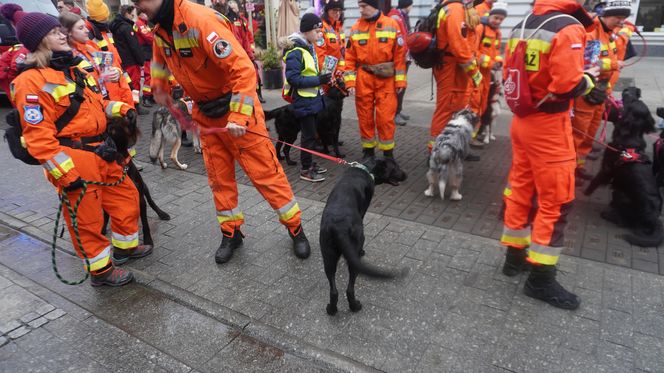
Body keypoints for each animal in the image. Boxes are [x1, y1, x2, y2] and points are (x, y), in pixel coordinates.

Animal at [100, 115, 170, 246]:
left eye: (112, 128)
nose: (131, 116)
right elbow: (106, 216)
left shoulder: (140, 199)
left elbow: (145, 222)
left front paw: (148, 240)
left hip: (144, 187)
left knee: (151, 202)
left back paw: (162, 213)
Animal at [320, 157, 408, 314]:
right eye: (395, 168)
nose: (406, 175)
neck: (367, 168)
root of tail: (338, 226)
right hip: (354, 255)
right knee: (349, 289)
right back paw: (355, 306)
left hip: (328, 255)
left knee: (333, 290)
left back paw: (331, 309)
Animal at [584, 91, 660, 247]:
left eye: (630, 102)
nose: (627, 92)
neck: (631, 136)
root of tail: (654, 220)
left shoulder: (607, 168)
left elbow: (596, 181)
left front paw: (585, 192)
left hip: (622, 194)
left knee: (624, 222)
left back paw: (609, 214)